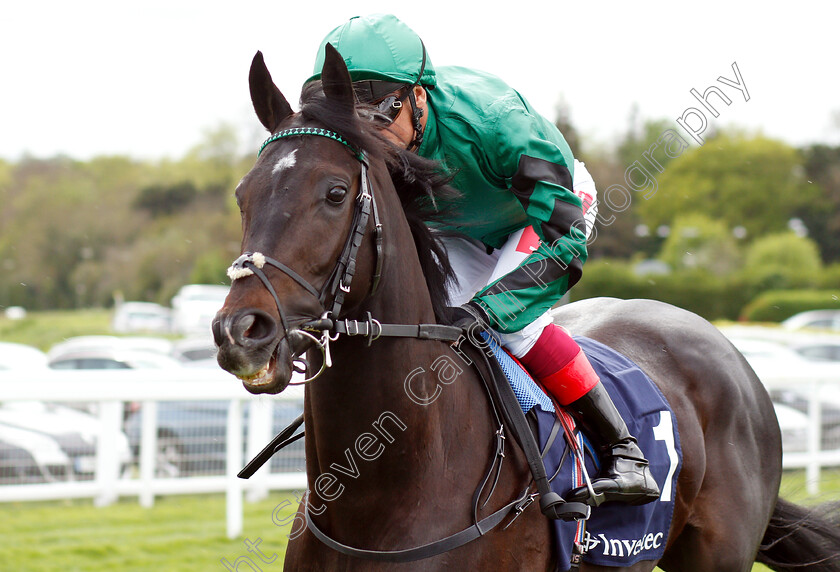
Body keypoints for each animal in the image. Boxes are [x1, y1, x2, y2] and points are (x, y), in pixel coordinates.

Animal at [212, 45, 840, 572]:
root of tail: (730, 354)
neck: (376, 496)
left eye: (336, 193)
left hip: (716, 556)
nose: (241, 330)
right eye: (243, 194)